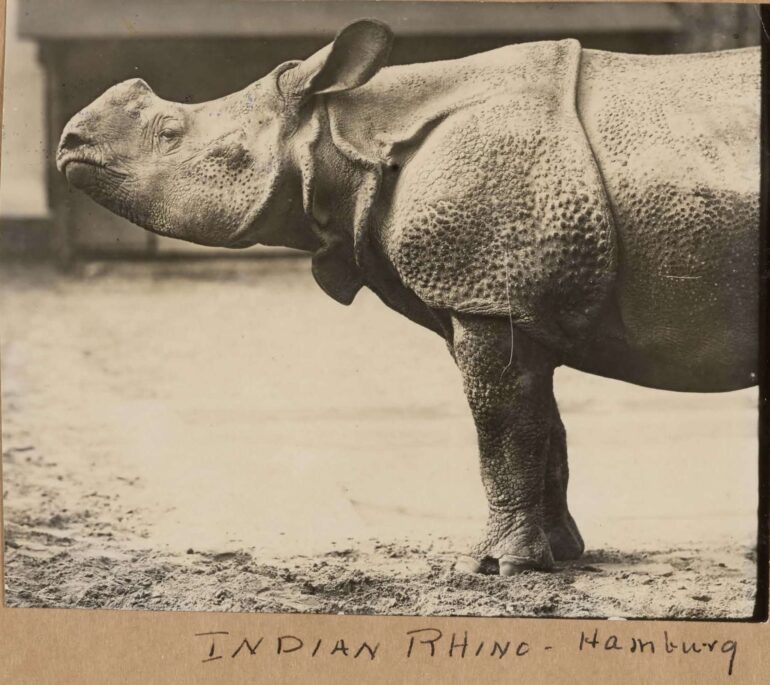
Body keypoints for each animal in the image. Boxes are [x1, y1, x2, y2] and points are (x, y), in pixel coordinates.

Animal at [56, 20, 759, 575]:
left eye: (169, 131)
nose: (68, 145)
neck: (343, 137)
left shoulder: (488, 290)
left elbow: (499, 426)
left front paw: (498, 566)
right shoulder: (499, 295)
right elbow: (539, 423)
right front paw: (559, 556)